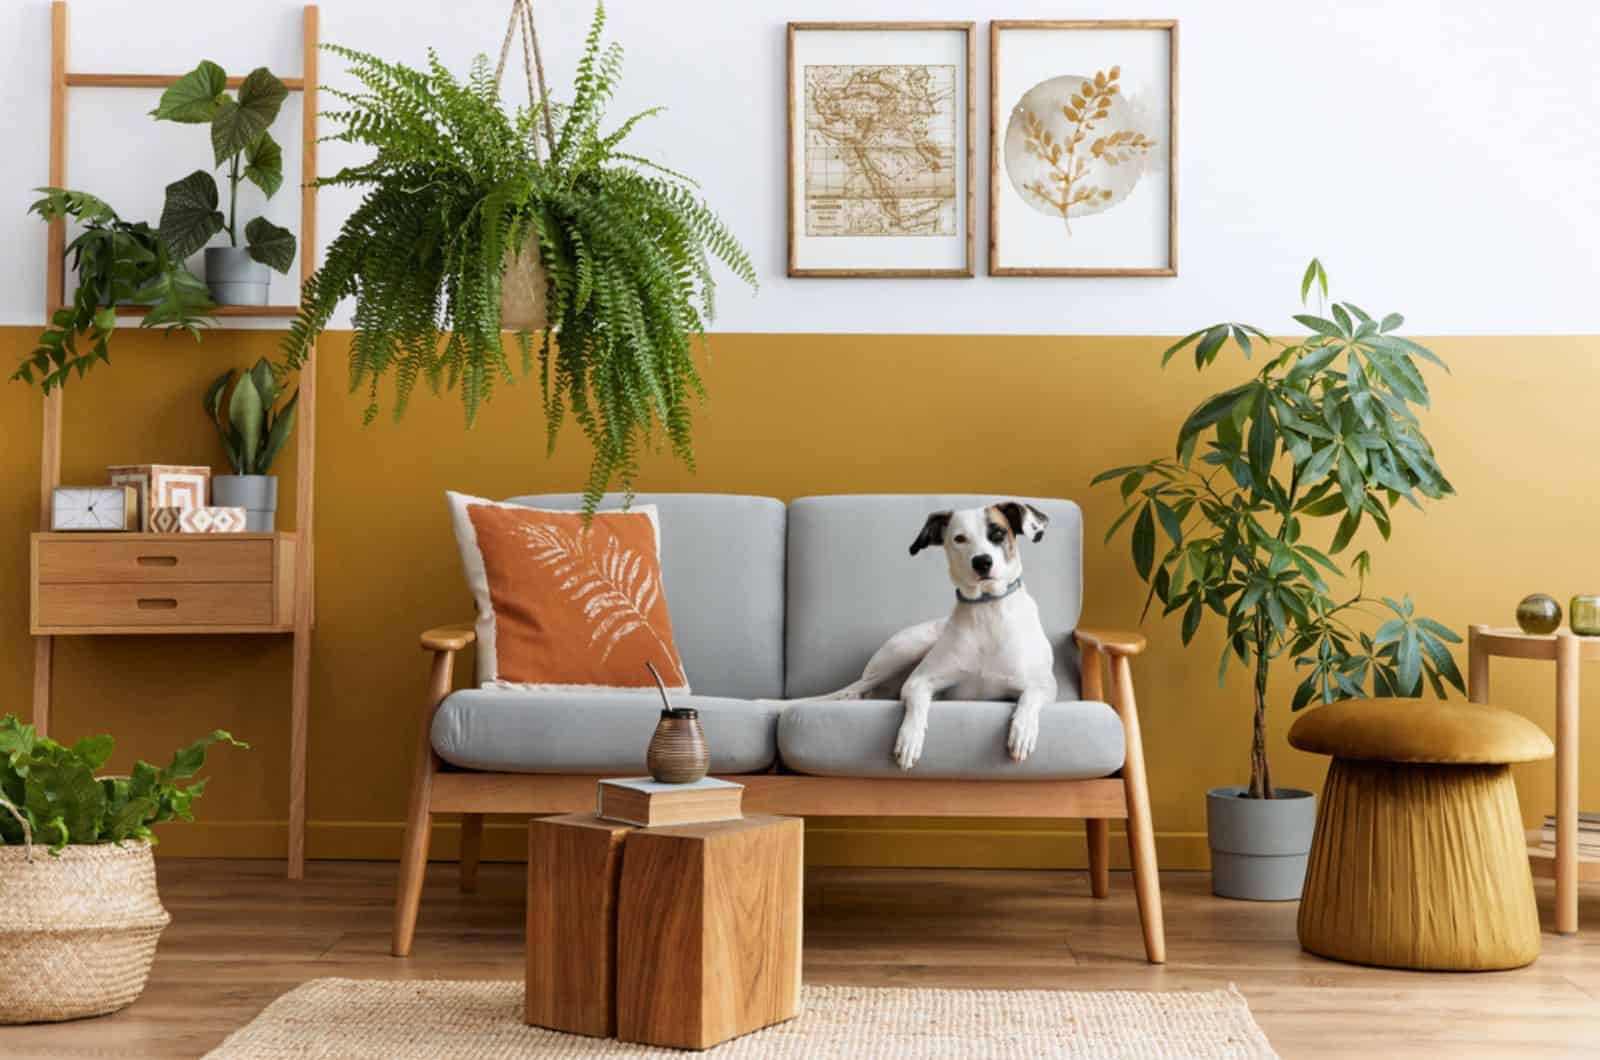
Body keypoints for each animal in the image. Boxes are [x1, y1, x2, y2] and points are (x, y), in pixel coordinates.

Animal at [806, 505, 1056, 771]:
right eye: (959, 538)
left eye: (998, 533)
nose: (982, 562)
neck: (987, 610)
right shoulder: (917, 682)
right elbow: (917, 705)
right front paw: (909, 740)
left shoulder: (1046, 685)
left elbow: (1030, 697)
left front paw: (1022, 731)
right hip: (906, 651)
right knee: (853, 691)